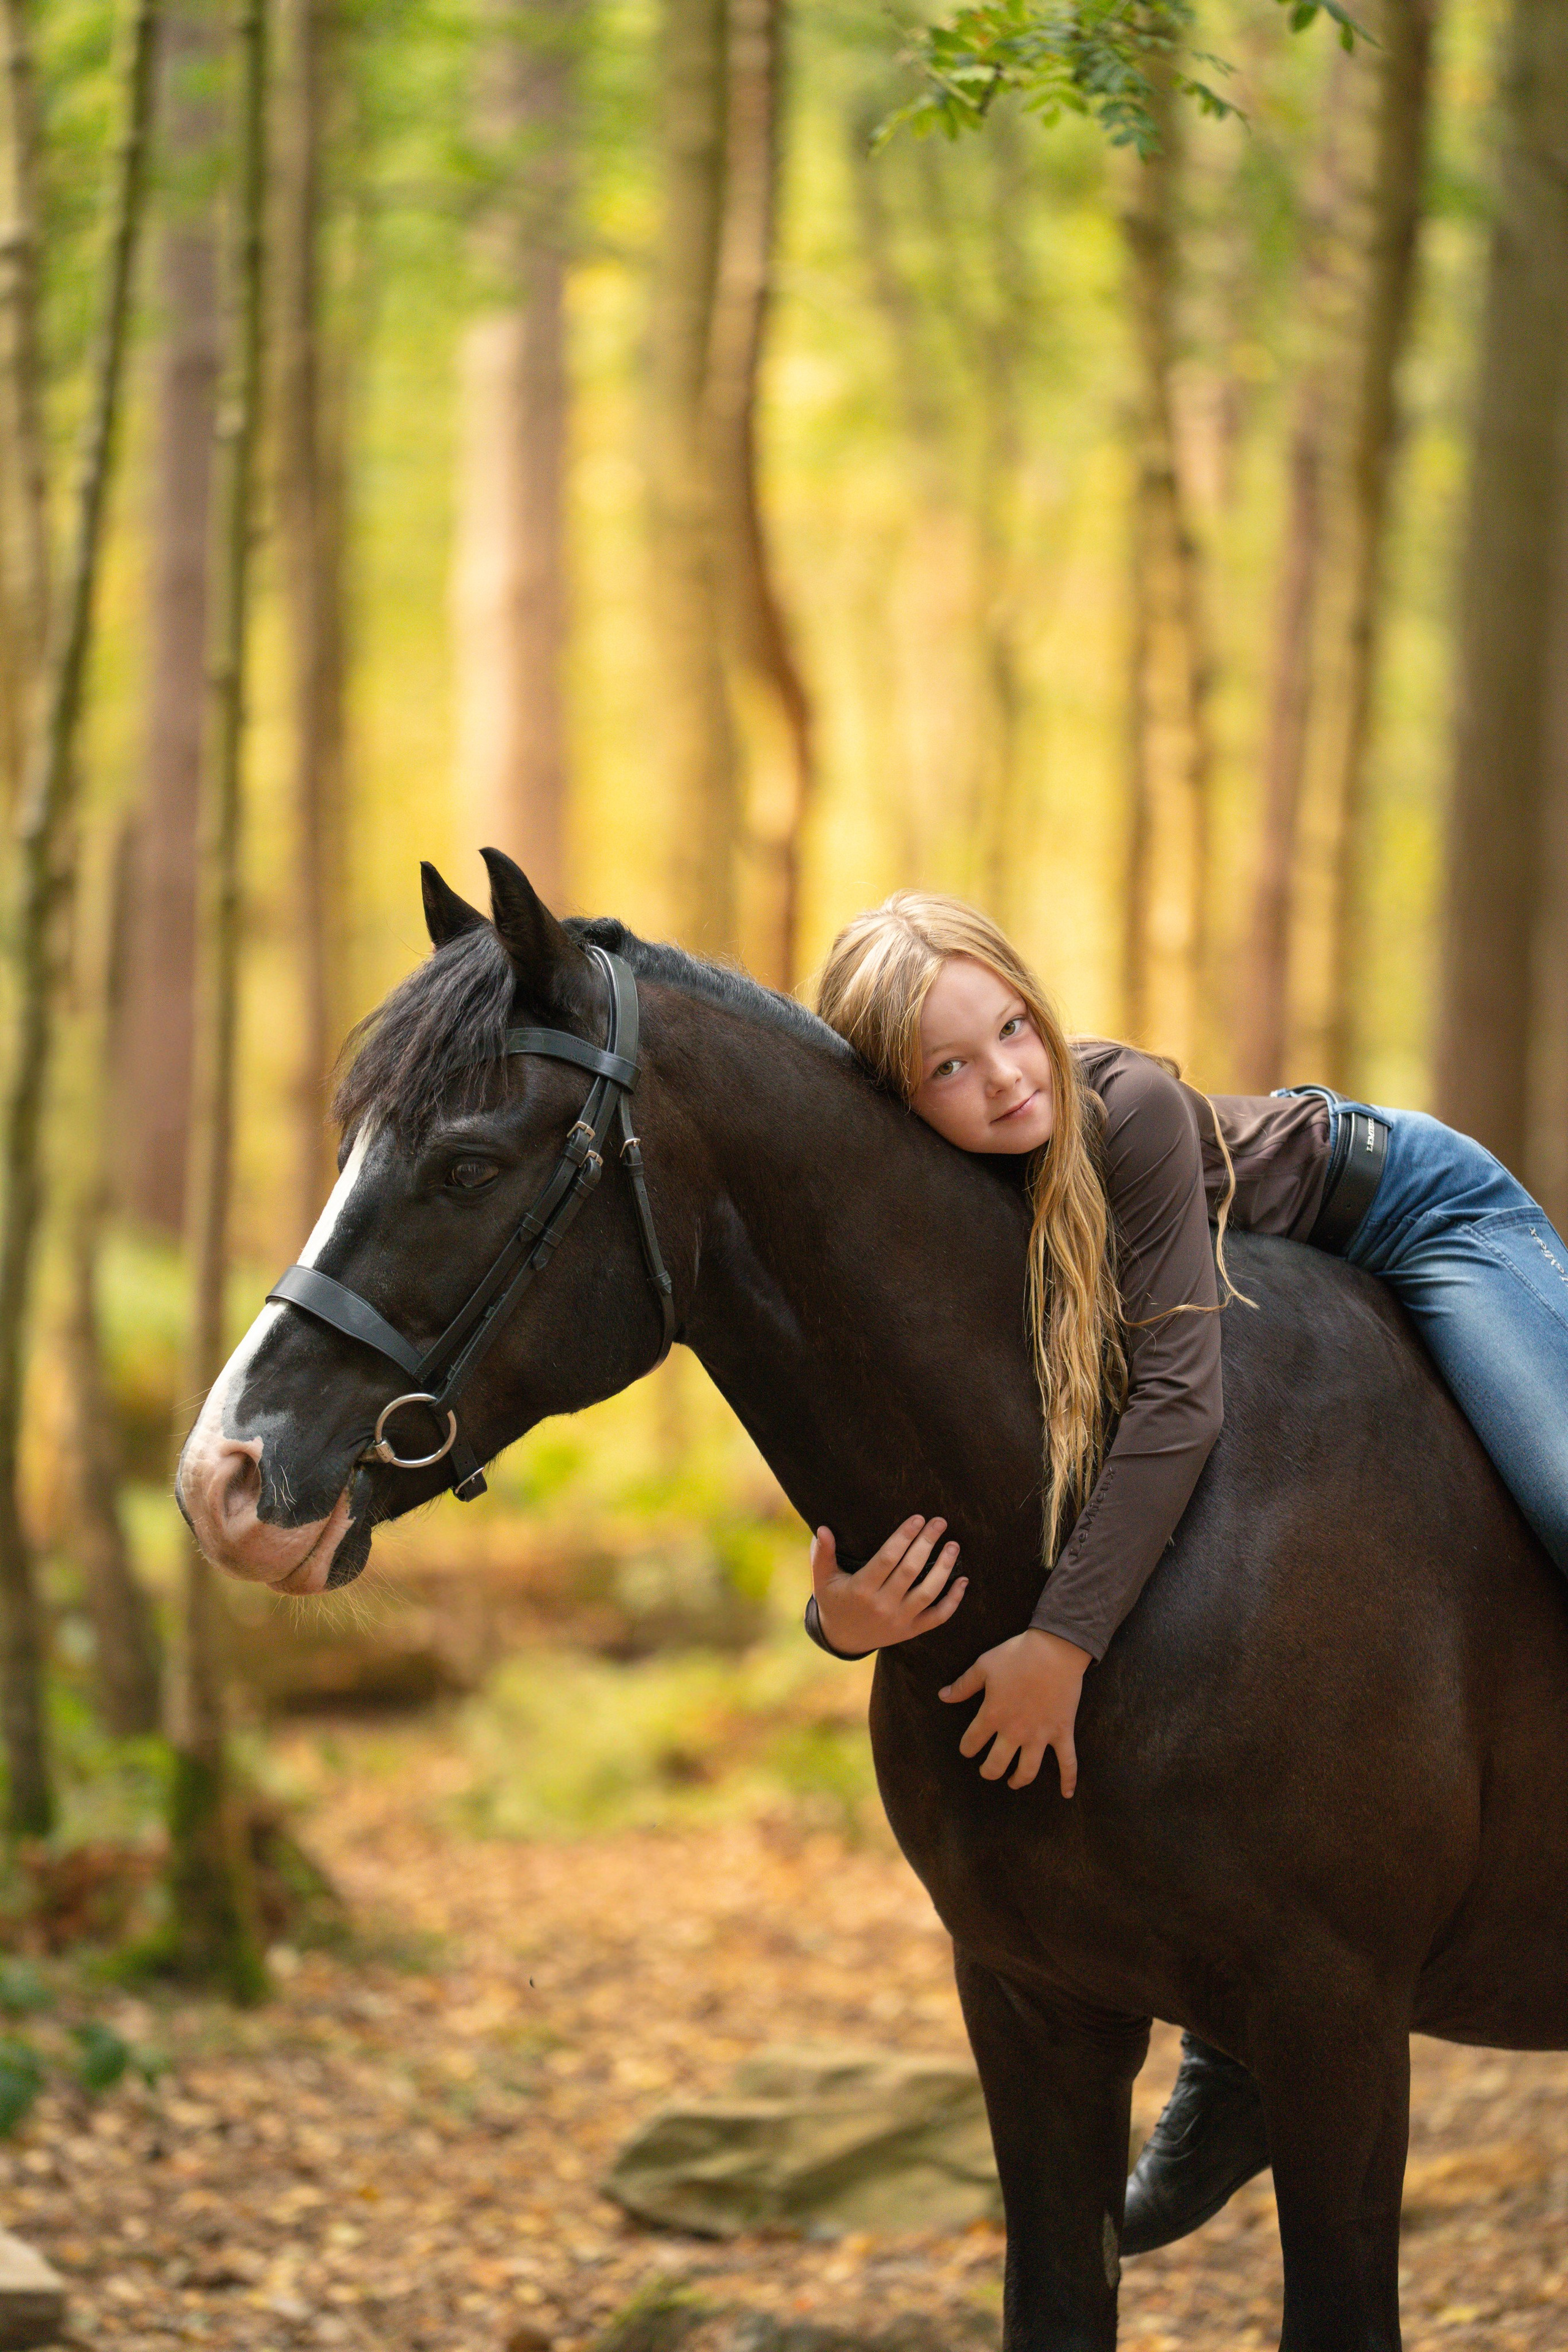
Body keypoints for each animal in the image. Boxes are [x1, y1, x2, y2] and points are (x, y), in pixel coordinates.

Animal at [178, 851, 1568, 2352]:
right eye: (349, 1146)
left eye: (469, 1164)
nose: (225, 1478)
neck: (1106, 1565)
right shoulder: (1033, 2006)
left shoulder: (1339, 2035)